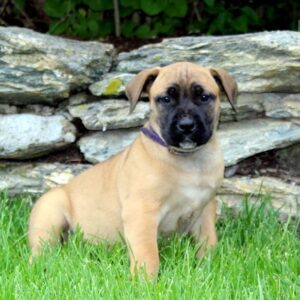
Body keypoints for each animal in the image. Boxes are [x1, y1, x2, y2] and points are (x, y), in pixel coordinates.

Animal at [28, 62, 237, 278]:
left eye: (204, 97)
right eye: (166, 99)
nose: (186, 125)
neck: (187, 159)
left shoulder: (204, 210)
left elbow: (208, 241)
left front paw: (210, 266)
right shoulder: (142, 211)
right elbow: (147, 253)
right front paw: (146, 281)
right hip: (50, 214)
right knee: (40, 251)